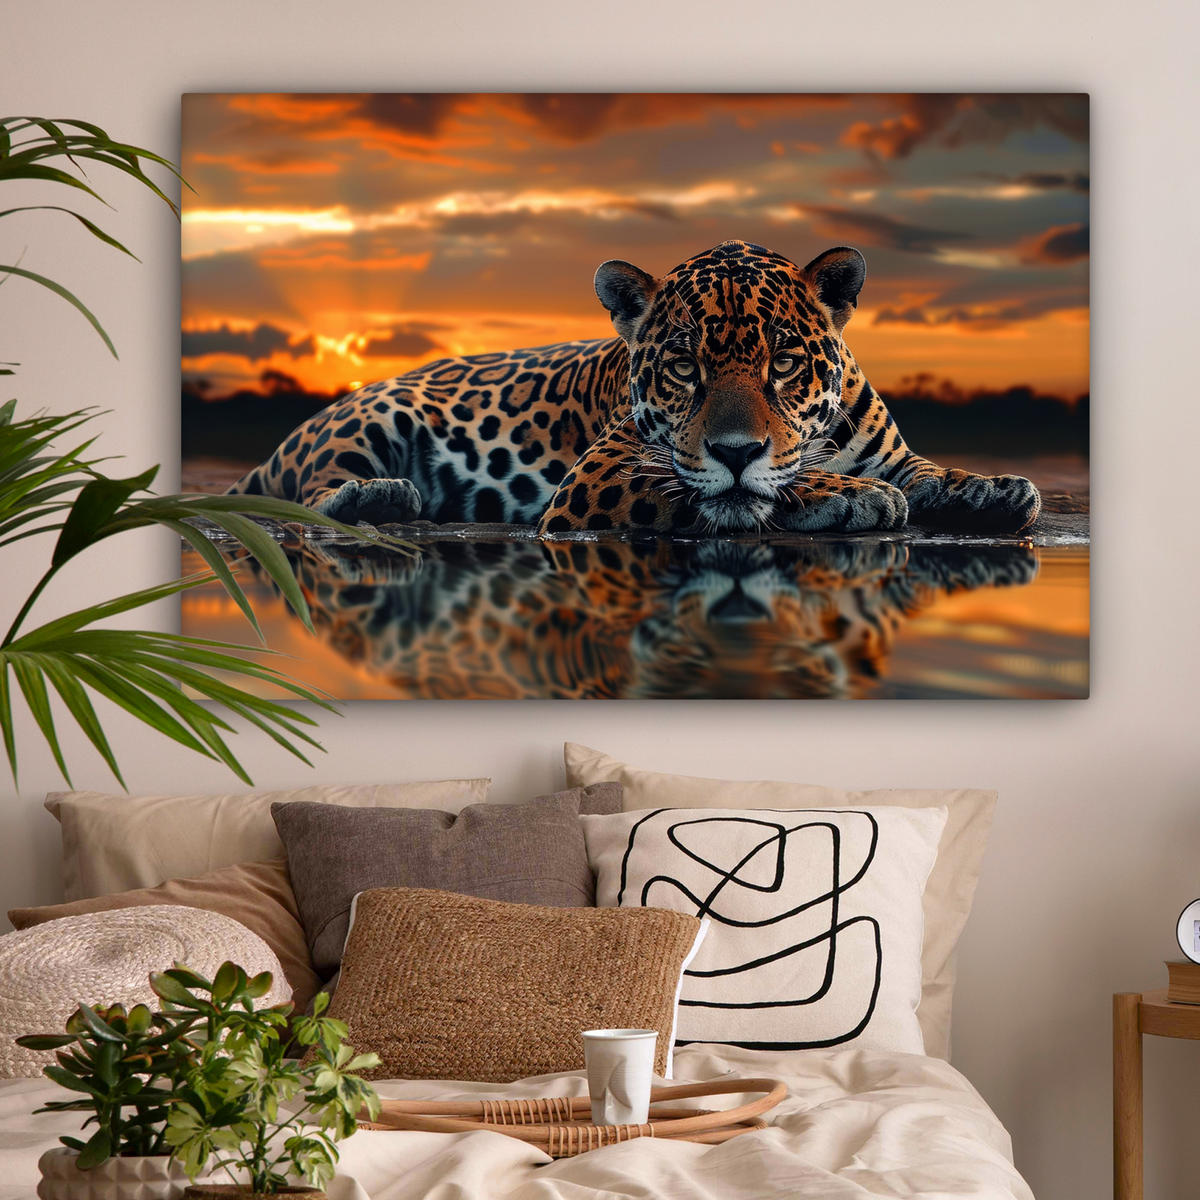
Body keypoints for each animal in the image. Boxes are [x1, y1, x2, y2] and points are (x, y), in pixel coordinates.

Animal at [225, 240, 1042, 536]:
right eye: (684, 367)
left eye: (782, 363)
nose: (736, 449)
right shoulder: (601, 475)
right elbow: (729, 490)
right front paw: (847, 497)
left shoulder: (892, 453)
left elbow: (932, 472)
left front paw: (995, 489)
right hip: (371, 418)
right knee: (308, 492)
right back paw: (382, 496)